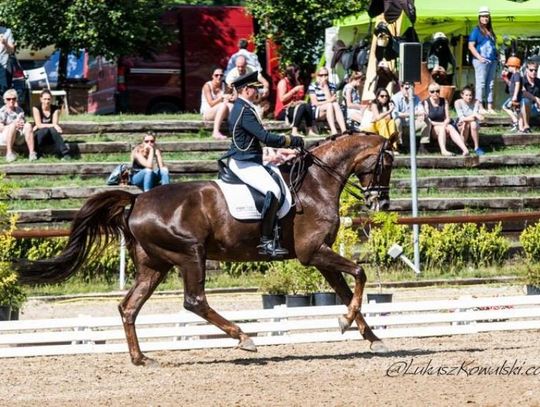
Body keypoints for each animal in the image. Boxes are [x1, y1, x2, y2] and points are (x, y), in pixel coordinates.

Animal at [15, 133, 392, 366]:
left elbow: (347, 290)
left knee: (129, 307)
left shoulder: (320, 256)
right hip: (190, 254)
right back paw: (244, 337)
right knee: (194, 301)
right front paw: (348, 324)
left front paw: (369, 336)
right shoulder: (311, 252)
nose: (382, 203)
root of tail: (137, 201)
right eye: (384, 164)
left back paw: (141, 358)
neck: (315, 184)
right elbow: (360, 272)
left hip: (155, 265)